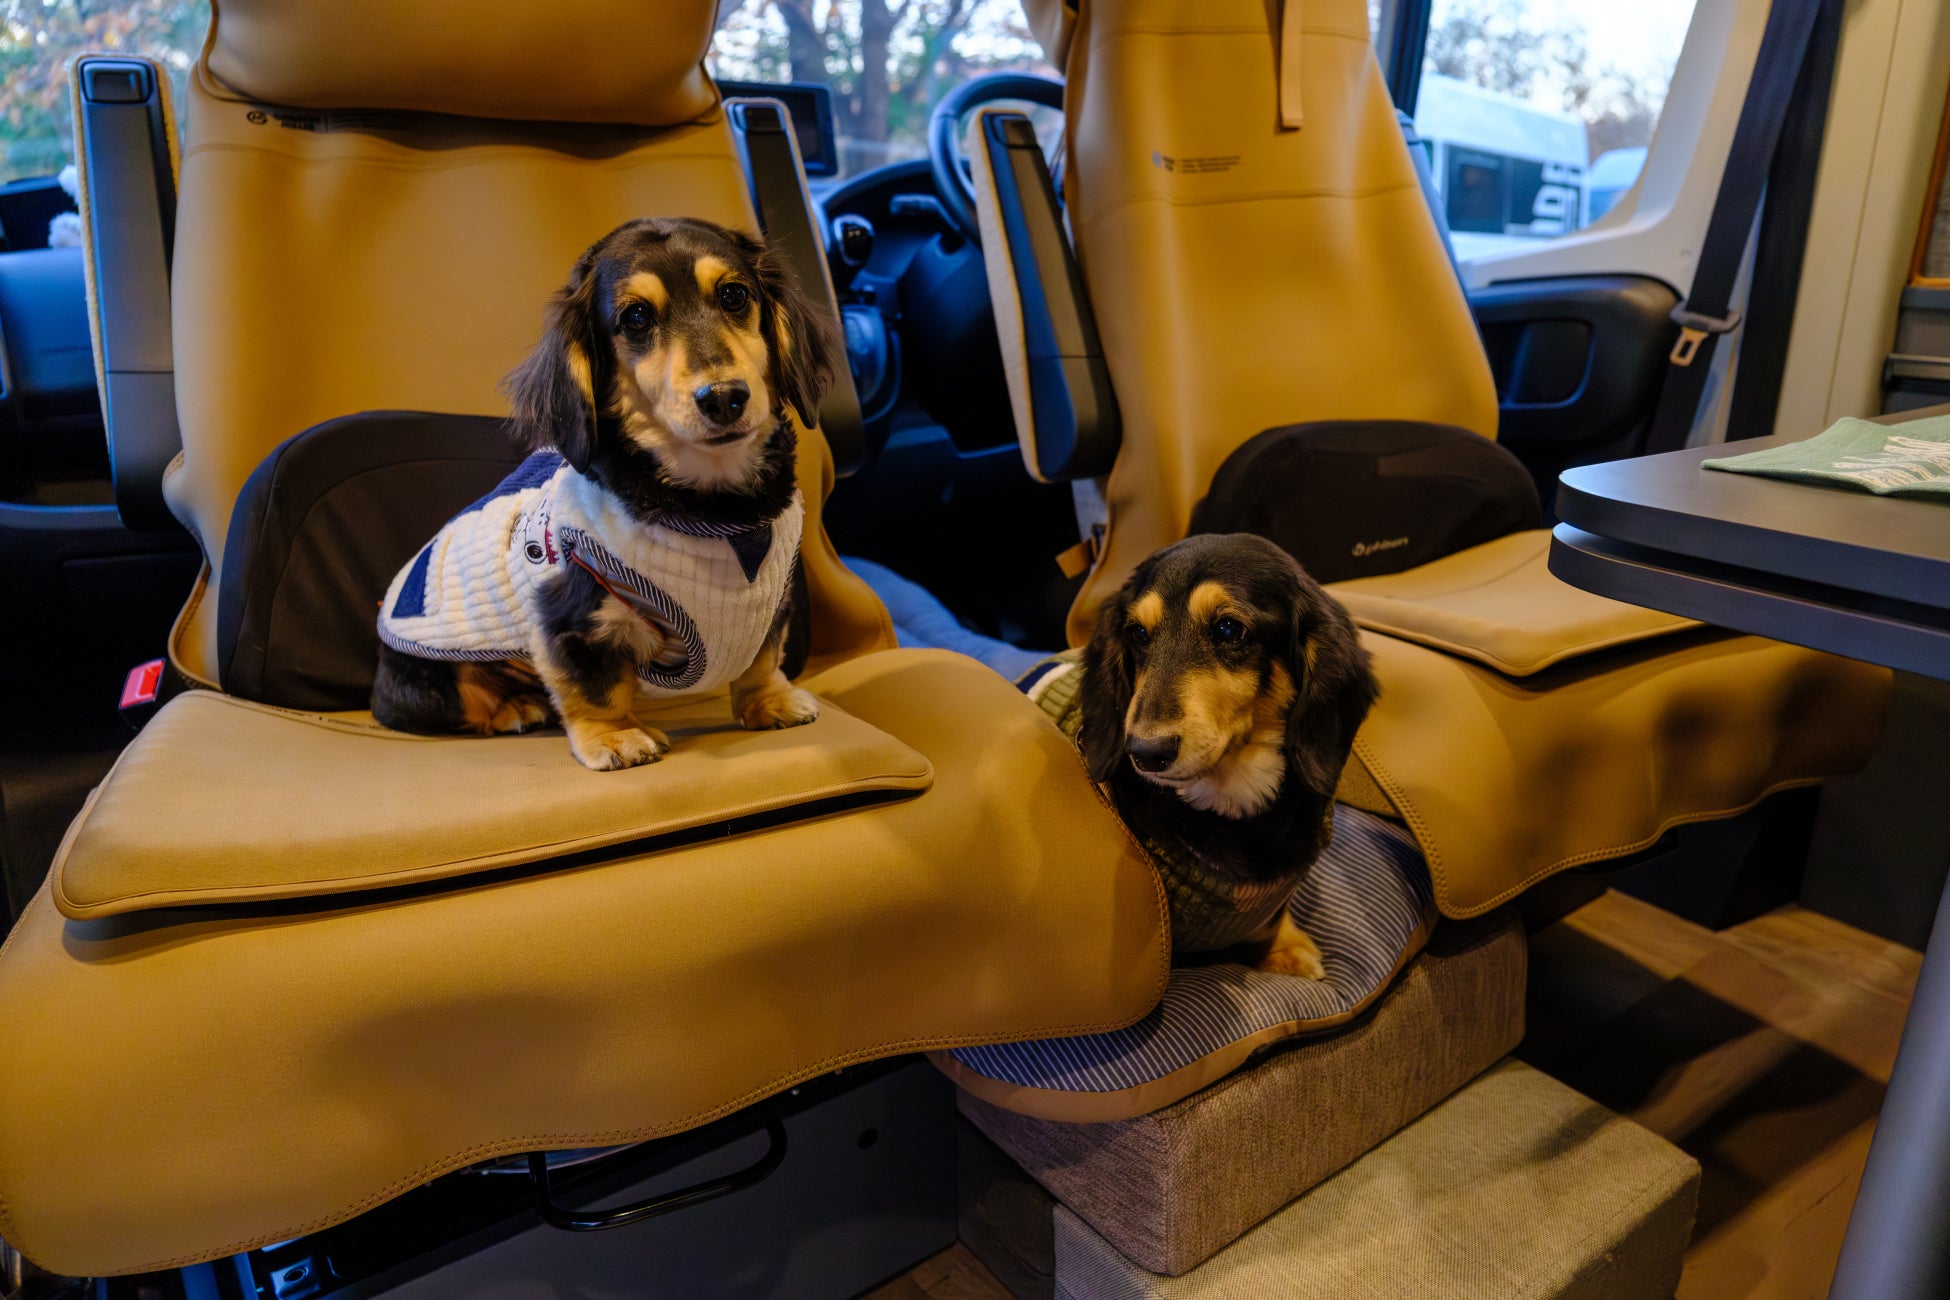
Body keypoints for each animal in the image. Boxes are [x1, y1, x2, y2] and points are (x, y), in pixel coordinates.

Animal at [372, 217, 840, 770]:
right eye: (636, 317)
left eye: (734, 295)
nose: (724, 398)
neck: (717, 510)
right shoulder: (569, 615)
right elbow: (592, 685)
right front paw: (615, 737)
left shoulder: (771, 602)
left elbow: (761, 658)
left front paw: (768, 701)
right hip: (428, 677)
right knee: (460, 702)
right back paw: (513, 709)